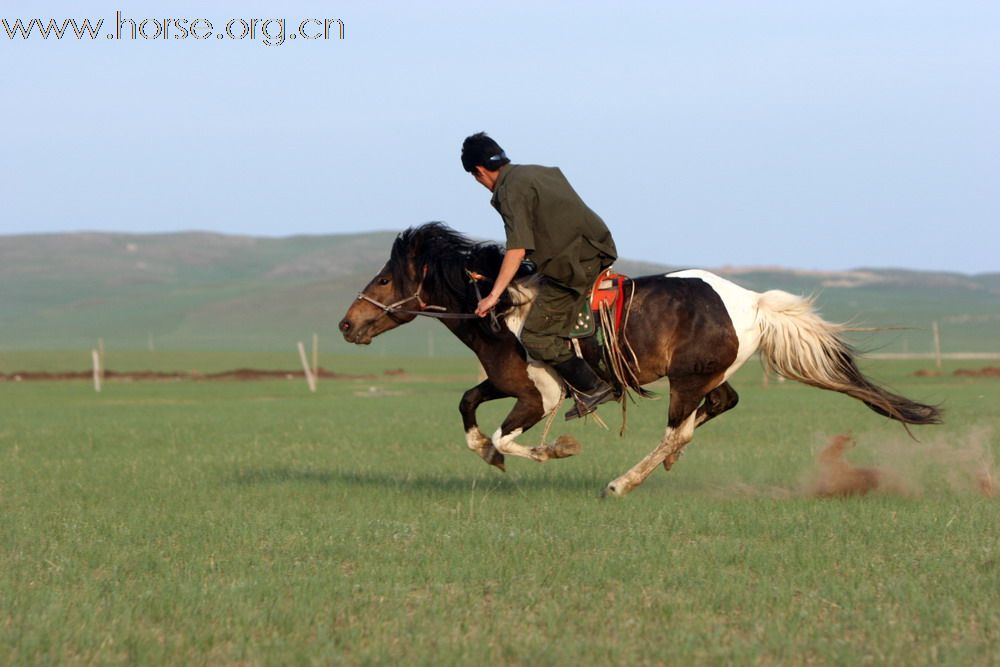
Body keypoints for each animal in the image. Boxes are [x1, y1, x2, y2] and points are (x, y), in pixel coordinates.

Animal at [340, 223, 940, 496]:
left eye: (386, 279)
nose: (347, 324)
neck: (500, 308)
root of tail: (751, 302)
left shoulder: (541, 395)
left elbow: (513, 437)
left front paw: (557, 448)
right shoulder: (508, 383)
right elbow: (468, 406)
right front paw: (487, 454)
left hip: (687, 378)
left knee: (678, 428)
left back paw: (623, 483)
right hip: (704, 375)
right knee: (717, 407)